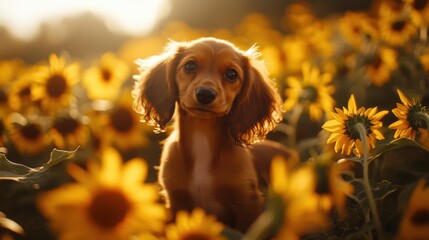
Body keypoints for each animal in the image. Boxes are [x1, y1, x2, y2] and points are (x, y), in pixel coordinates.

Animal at [133, 37, 298, 232]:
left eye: (232, 74)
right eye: (189, 66)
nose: (205, 94)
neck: (202, 136)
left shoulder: (247, 203)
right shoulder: (176, 202)